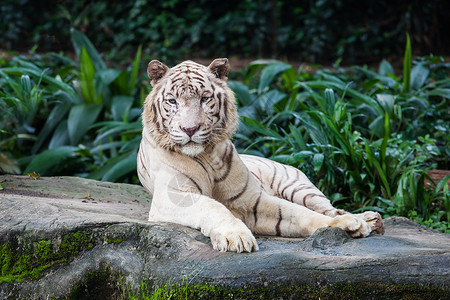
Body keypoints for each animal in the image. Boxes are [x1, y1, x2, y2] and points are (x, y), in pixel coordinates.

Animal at [137, 57, 384, 252]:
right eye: (172, 101)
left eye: (205, 99)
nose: (190, 129)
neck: (206, 155)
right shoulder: (174, 197)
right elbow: (213, 207)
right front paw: (236, 237)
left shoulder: (251, 199)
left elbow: (300, 214)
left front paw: (346, 224)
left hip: (301, 188)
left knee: (329, 207)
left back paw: (368, 219)